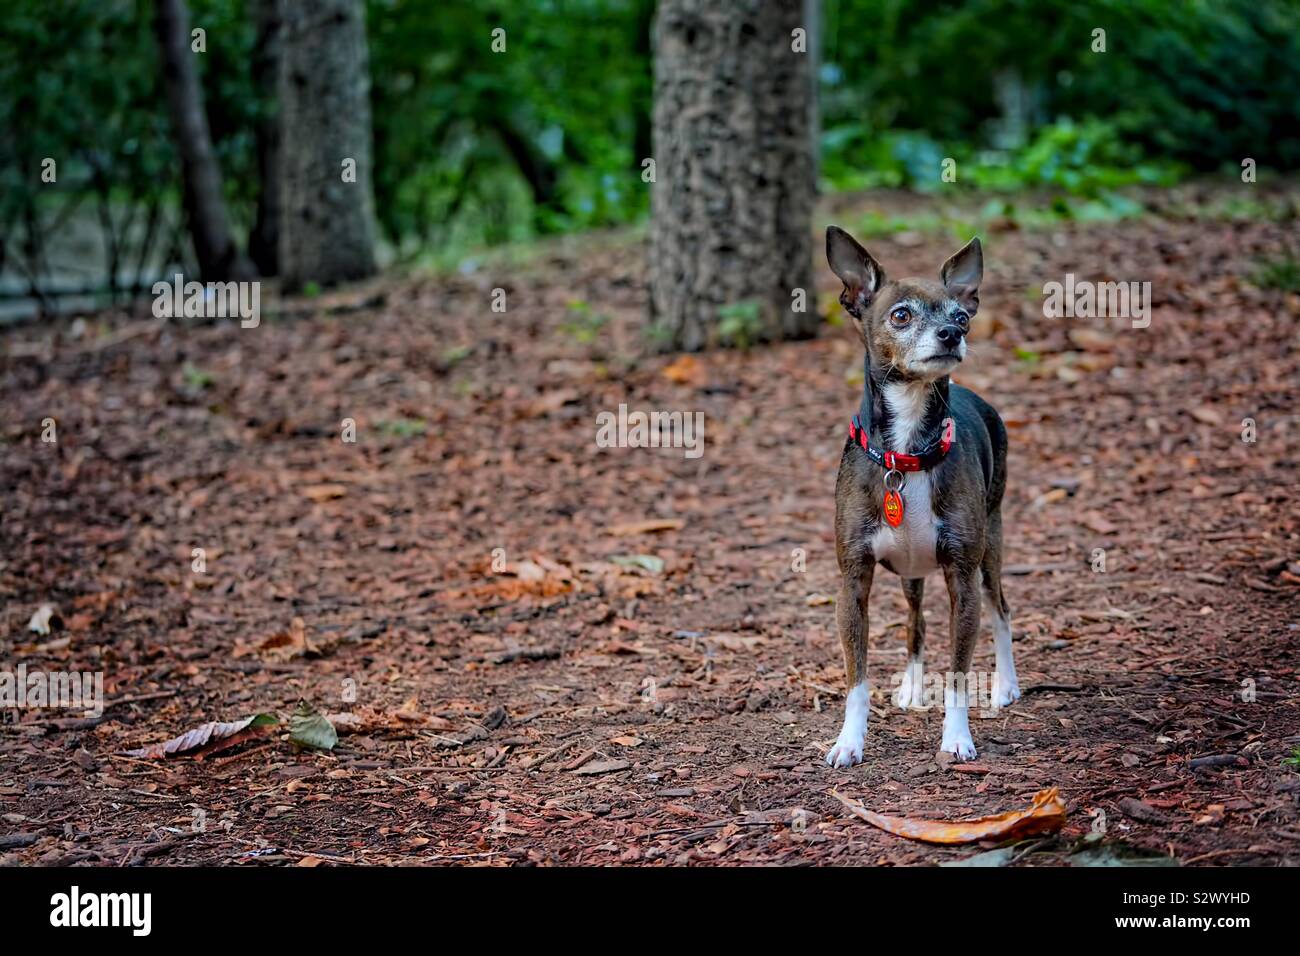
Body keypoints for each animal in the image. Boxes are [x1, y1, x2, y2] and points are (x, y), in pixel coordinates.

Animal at [821, 226, 1013, 770]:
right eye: (900, 315)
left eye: (962, 315)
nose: (952, 334)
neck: (906, 454)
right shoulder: (854, 583)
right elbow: (857, 679)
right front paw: (849, 741)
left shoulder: (962, 582)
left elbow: (958, 675)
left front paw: (957, 738)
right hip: (910, 573)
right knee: (915, 622)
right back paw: (910, 685)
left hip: (989, 551)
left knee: (1002, 610)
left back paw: (1007, 686)